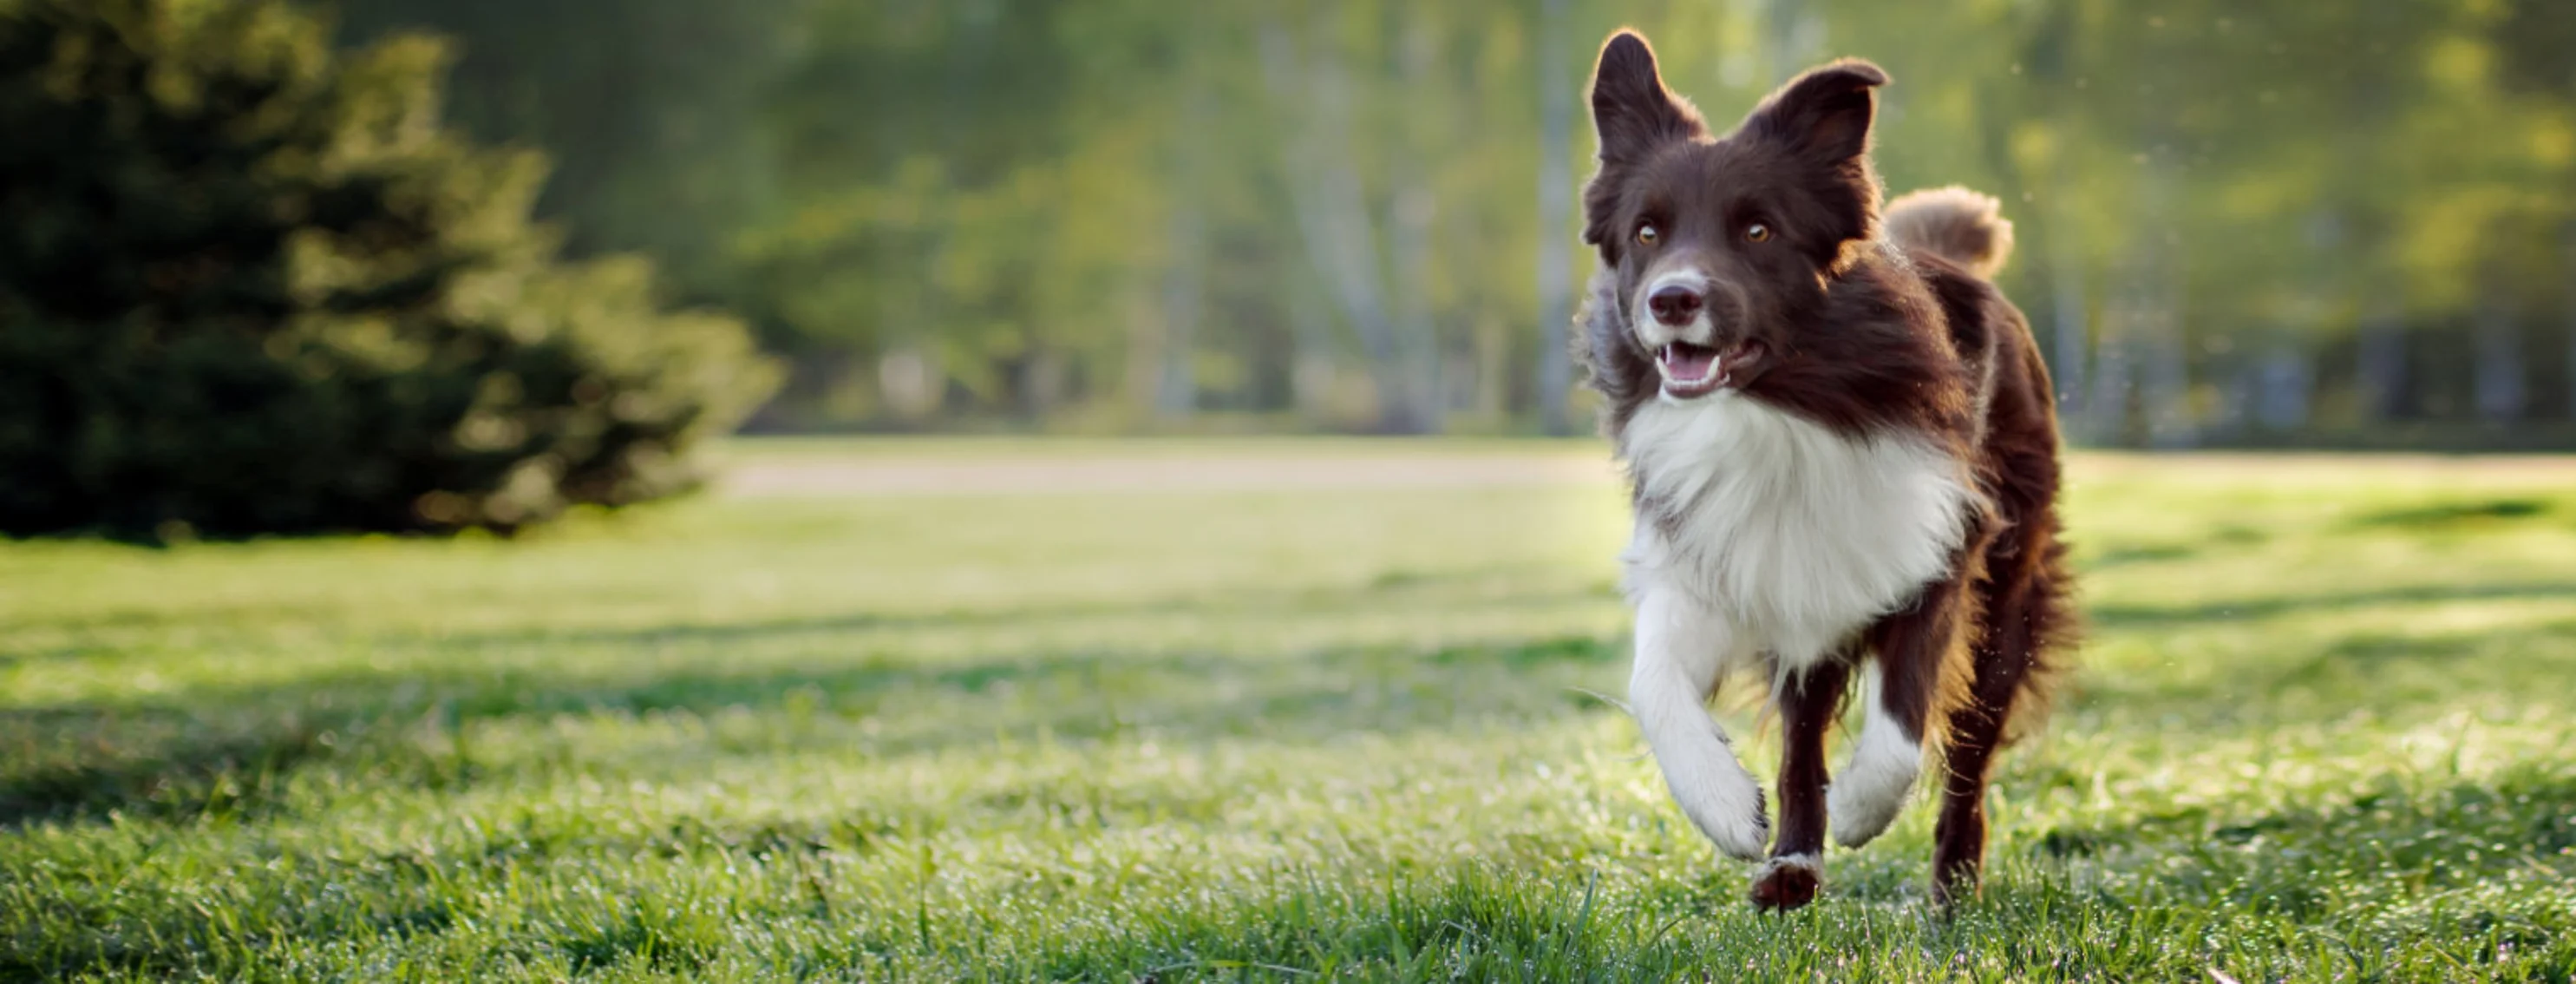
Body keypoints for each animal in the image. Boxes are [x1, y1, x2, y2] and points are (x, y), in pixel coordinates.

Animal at [1566, 29, 2070, 906]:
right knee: (1803, 742)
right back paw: (1792, 864)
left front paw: (1869, 805)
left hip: (2007, 593)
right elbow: (1652, 683)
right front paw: (1725, 808)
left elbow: (1905, 716)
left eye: (1758, 232)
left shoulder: (1935, 542)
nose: (1671, 301)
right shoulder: (1710, 560)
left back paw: (1952, 891)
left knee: (1969, 753)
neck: (1777, 413)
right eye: (1647, 234)